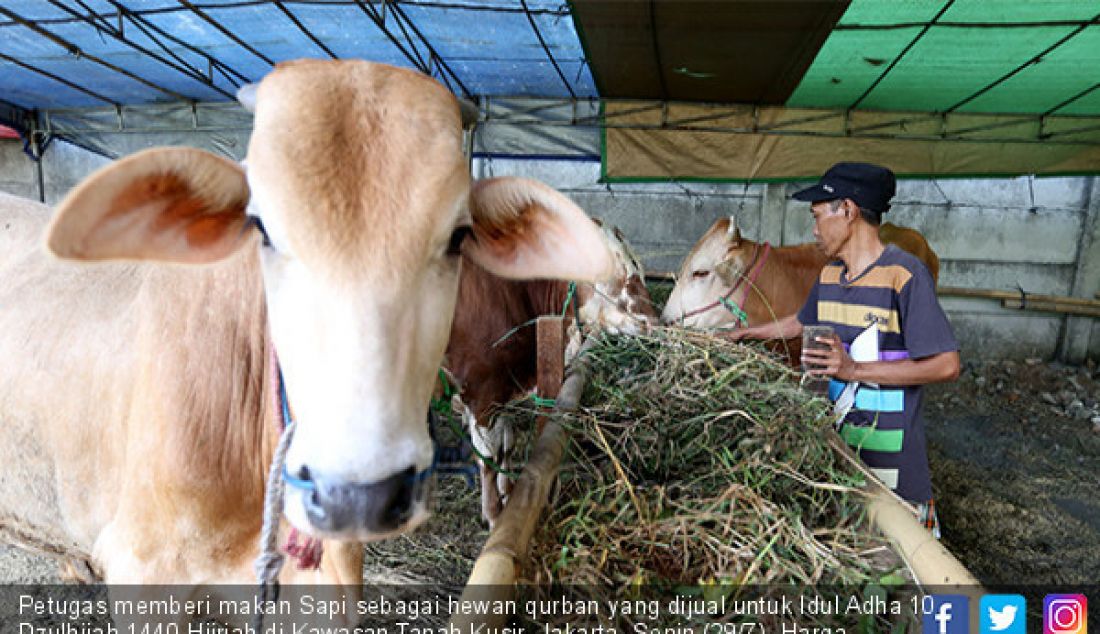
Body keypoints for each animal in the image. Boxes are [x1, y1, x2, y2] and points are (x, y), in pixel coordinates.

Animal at [444, 220, 651, 521]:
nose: (655, 320)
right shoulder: (483, 390)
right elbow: (488, 458)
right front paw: (494, 515)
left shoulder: (505, 384)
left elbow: (507, 443)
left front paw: (508, 492)